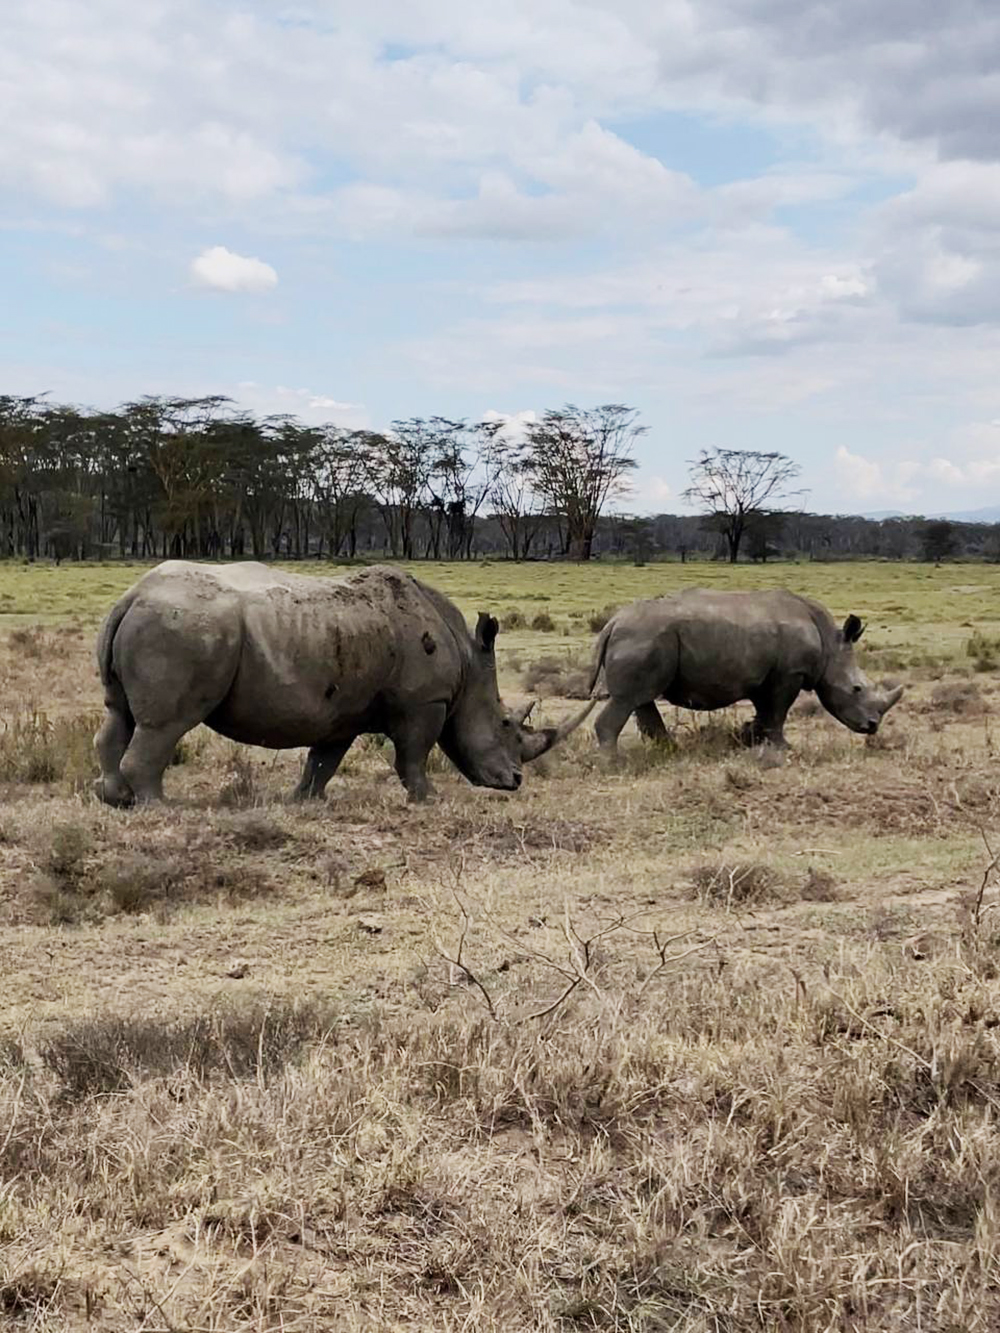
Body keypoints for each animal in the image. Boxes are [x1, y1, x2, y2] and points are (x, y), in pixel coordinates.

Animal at [92, 562, 594, 799]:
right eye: (506, 724)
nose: (515, 781)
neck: (470, 665)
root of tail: (131, 596)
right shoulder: (424, 702)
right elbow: (414, 755)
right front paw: (428, 799)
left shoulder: (341, 711)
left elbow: (323, 761)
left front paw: (303, 801)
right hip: (181, 628)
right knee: (166, 725)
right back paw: (158, 805)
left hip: (158, 622)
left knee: (119, 714)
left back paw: (115, 799)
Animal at [592, 589, 906, 757]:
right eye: (857, 689)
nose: (872, 726)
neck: (830, 643)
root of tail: (612, 622)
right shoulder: (789, 674)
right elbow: (778, 712)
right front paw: (784, 748)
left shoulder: (766, 676)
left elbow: (766, 711)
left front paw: (751, 739)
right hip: (642, 638)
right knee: (627, 699)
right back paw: (614, 762)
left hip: (644, 639)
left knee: (641, 697)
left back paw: (672, 751)